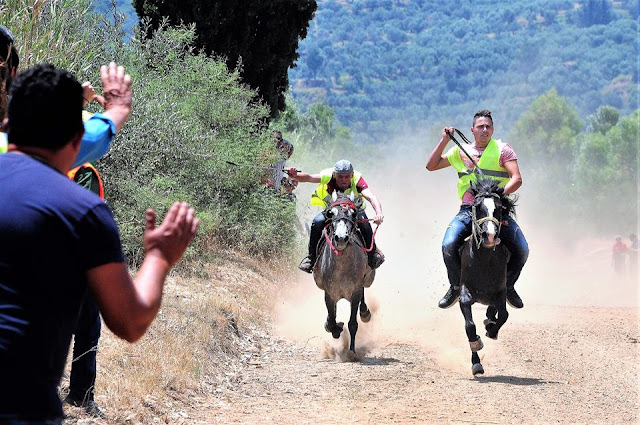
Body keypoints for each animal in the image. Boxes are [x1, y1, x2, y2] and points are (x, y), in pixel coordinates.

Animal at [313, 192, 375, 354]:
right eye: (331, 213)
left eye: (353, 214)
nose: (341, 238)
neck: (342, 268)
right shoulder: (329, 293)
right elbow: (331, 320)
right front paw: (334, 327)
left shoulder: (355, 292)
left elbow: (353, 323)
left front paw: (351, 352)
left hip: (365, 280)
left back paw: (365, 312)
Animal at [458, 177, 517, 375]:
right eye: (477, 206)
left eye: (498, 208)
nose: (489, 236)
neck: (484, 258)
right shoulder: (465, 291)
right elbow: (469, 325)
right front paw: (476, 352)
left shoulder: (500, 291)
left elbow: (504, 314)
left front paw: (491, 331)